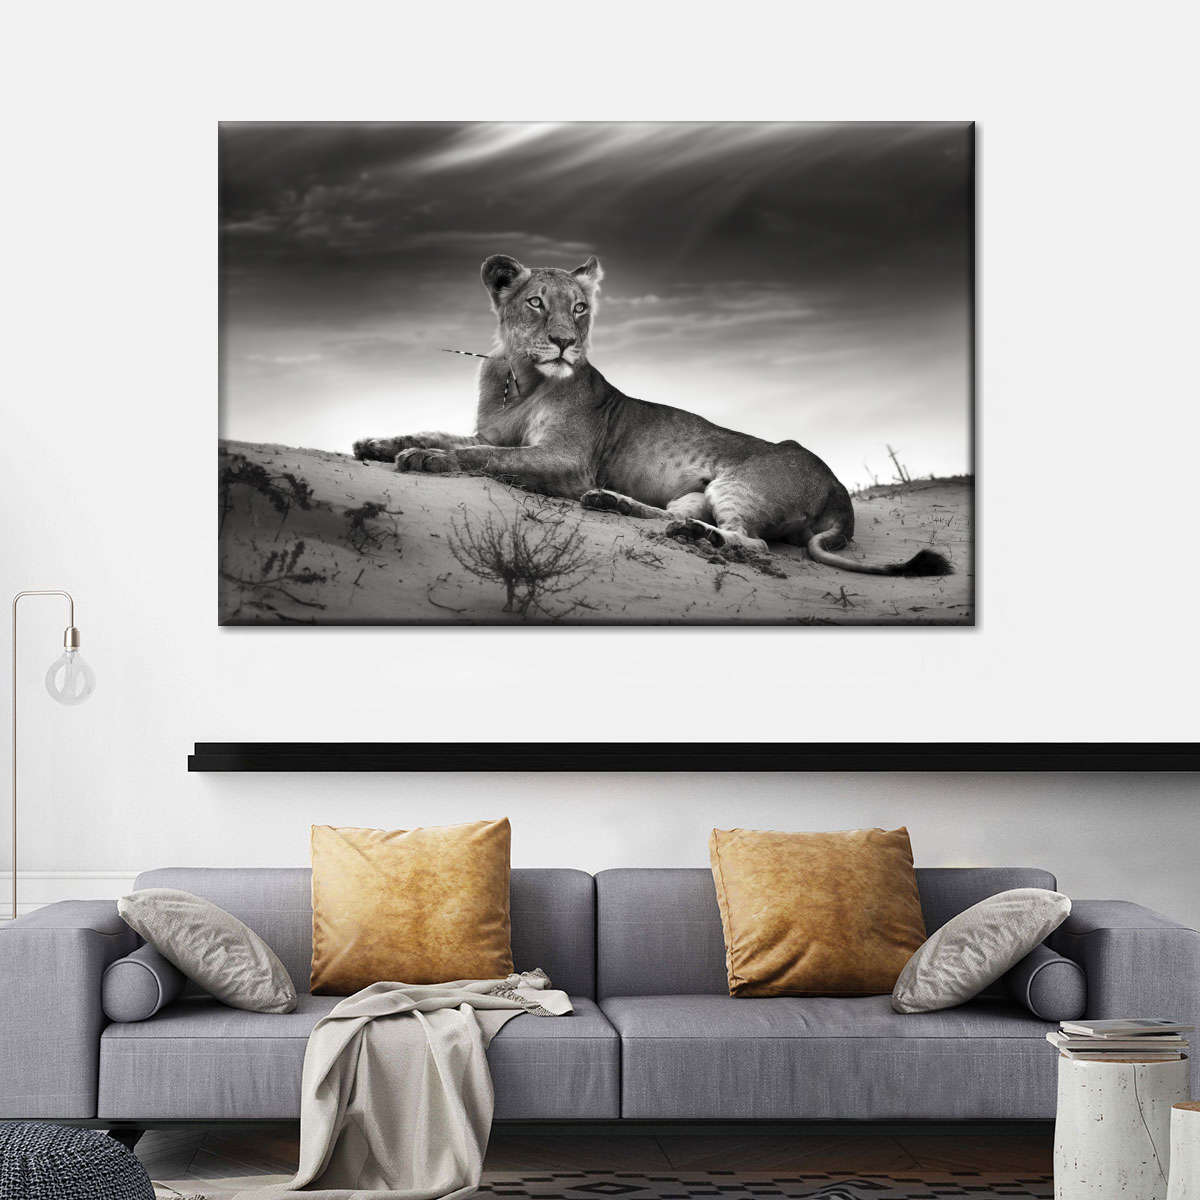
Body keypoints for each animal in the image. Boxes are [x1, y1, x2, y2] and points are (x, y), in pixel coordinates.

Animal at [353, 254, 952, 576]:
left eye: (579, 308)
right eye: (535, 302)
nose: (565, 343)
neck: (519, 378)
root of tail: (841, 494)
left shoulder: (567, 461)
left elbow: (485, 456)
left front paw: (427, 460)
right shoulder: (493, 431)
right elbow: (448, 435)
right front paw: (378, 445)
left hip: (741, 484)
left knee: (751, 542)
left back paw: (692, 537)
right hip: (697, 491)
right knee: (673, 515)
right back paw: (616, 505)